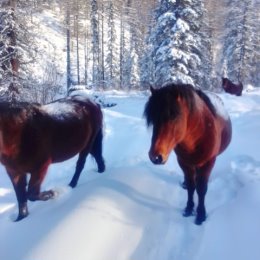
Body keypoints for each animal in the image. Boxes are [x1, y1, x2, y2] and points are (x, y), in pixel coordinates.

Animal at [144, 84, 232, 224]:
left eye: (174, 116)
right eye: (152, 119)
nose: (155, 157)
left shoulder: (208, 162)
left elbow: (201, 189)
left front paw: (200, 215)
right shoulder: (184, 162)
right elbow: (191, 186)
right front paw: (189, 208)